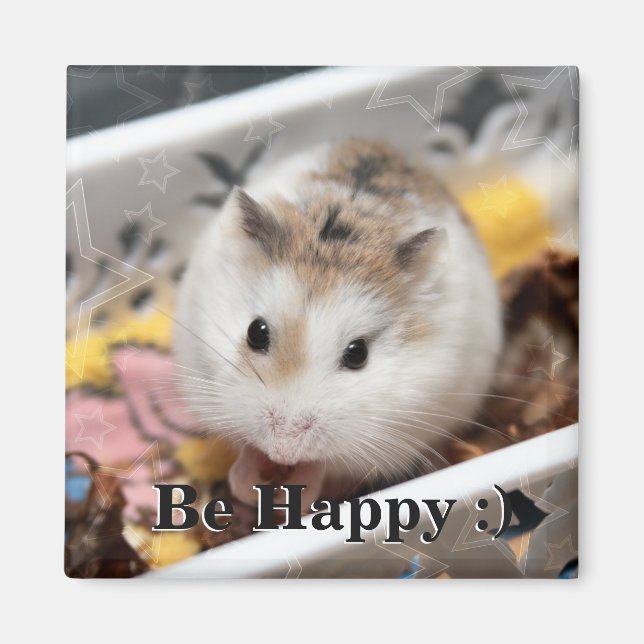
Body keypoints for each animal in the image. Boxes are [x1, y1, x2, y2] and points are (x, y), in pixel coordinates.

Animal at [174, 139, 503, 508]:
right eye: (255, 332)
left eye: (358, 354)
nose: (283, 450)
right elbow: (245, 447)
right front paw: (245, 485)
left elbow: (321, 466)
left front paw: (296, 494)